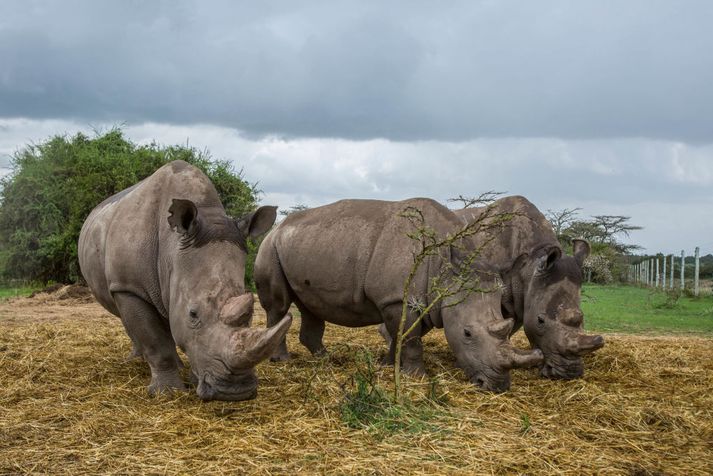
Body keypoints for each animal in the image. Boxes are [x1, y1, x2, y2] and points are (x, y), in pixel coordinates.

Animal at [77, 162, 290, 400]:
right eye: (193, 314)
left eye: (251, 314)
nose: (236, 391)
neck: (171, 251)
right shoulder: (129, 286)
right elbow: (154, 340)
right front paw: (166, 393)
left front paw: (191, 380)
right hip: (121, 283)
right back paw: (137, 361)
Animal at [254, 197, 540, 390]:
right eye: (467, 333)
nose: (497, 385)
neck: (448, 272)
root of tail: (278, 227)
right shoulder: (396, 299)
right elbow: (410, 339)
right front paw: (418, 377)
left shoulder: (420, 302)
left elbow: (402, 336)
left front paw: (386, 364)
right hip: (270, 247)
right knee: (279, 306)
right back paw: (282, 360)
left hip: (305, 244)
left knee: (311, 306)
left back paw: (325, 359)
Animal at [454, 194, 604, 380]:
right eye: (540, 321)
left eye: (583, 318)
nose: (568, 374)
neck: (531, 262)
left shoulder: (521, 300)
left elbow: (508, 329)